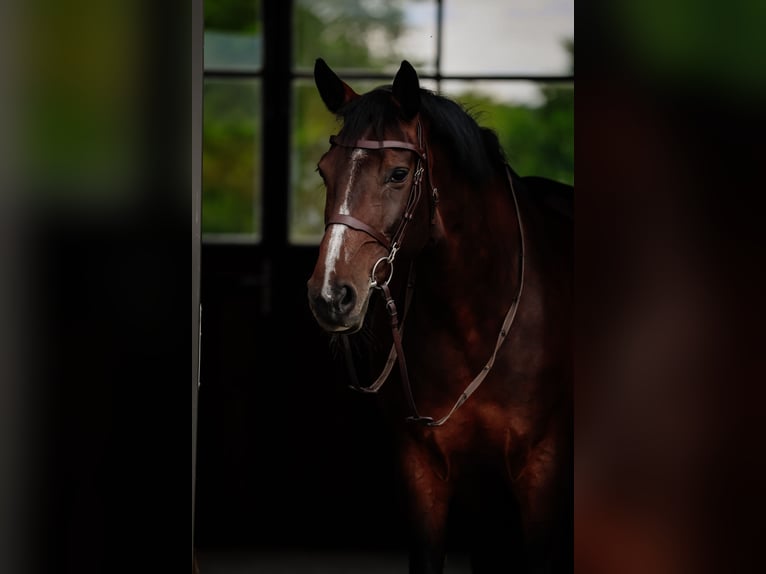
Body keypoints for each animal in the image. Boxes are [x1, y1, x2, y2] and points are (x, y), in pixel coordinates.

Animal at [307, 58, 573, 574]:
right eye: (324, 172)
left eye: (398, 173)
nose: (330, 295)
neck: (475, 316)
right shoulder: (423, 474)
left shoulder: (541, 473)